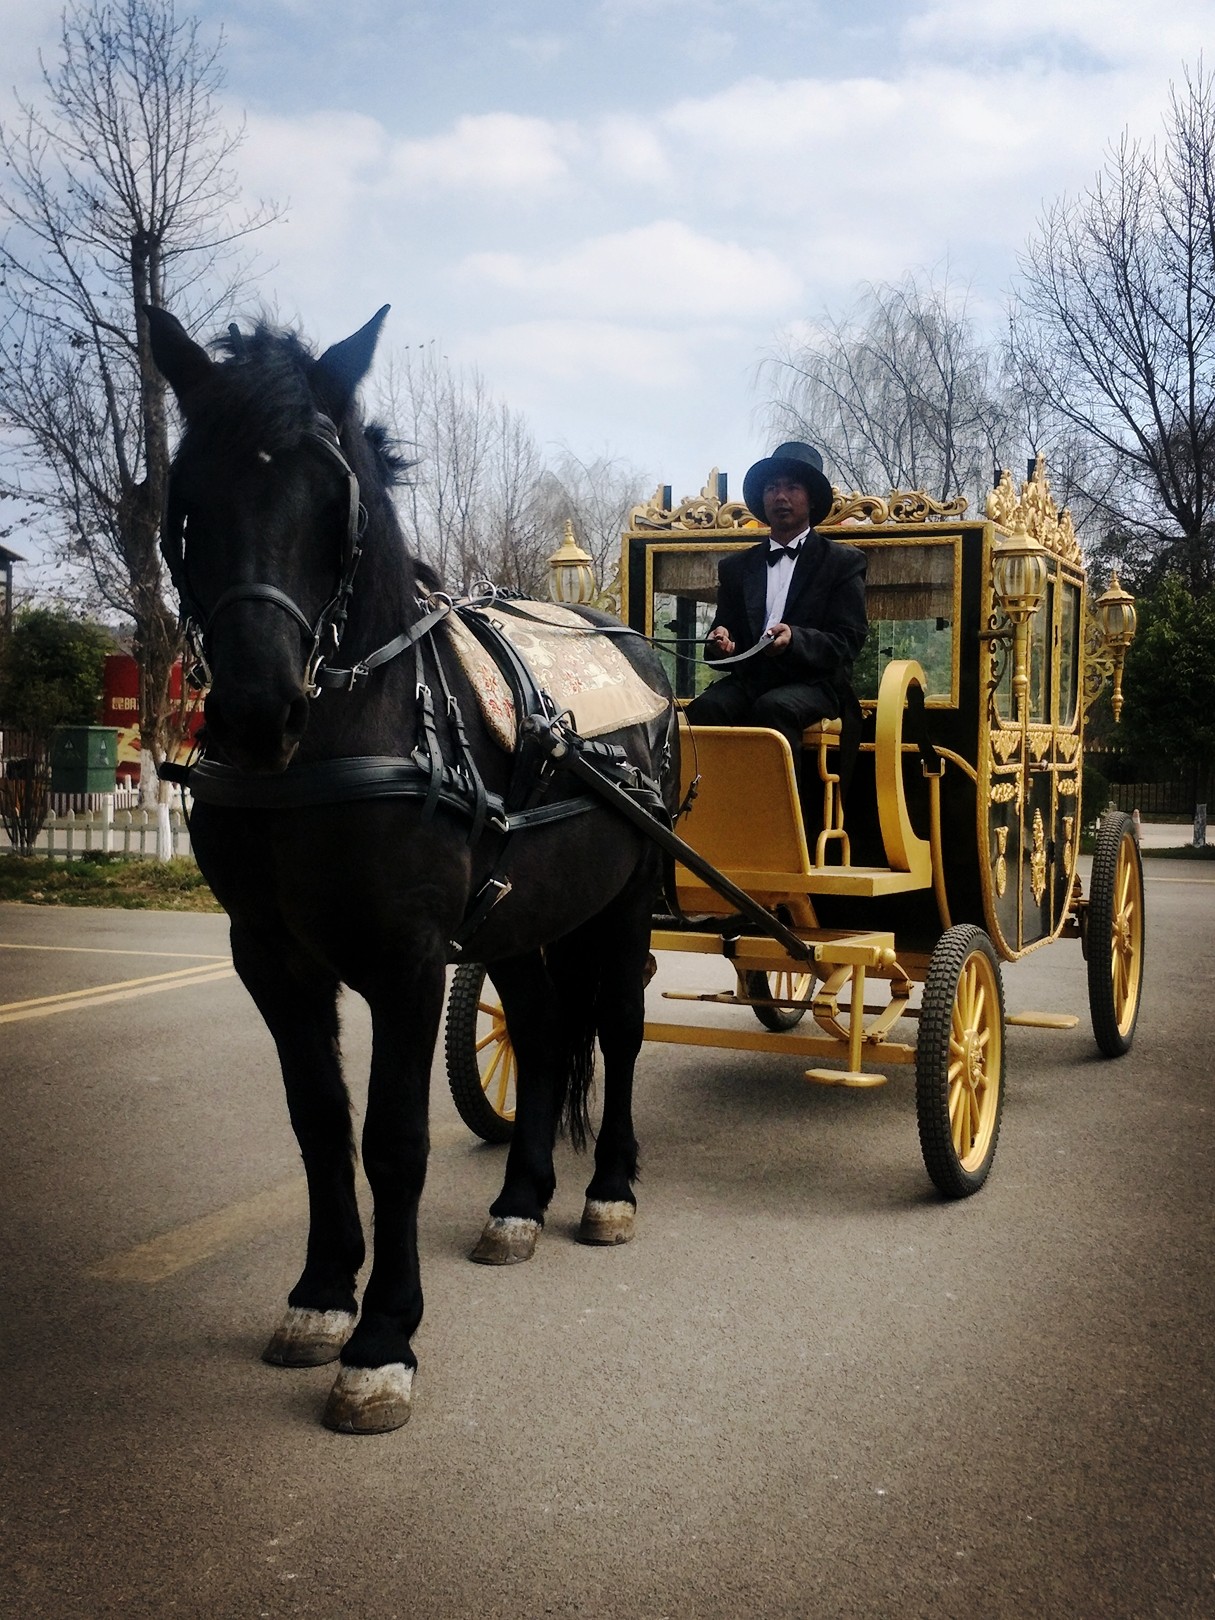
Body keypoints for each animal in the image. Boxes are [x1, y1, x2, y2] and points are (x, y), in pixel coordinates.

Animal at [146, 304, 680, 1432]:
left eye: (331, 500)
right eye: (189, 496)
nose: (254, 711)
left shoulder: (407, 959)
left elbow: (394, 1139)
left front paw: (383, 1338)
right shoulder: (270, 959)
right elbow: (320, 1123)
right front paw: (319, 1295)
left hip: (622, 904)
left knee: (616, 1026)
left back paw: (608, 1189)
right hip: (523, 914)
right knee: (546, 1028)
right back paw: (520, 1202)